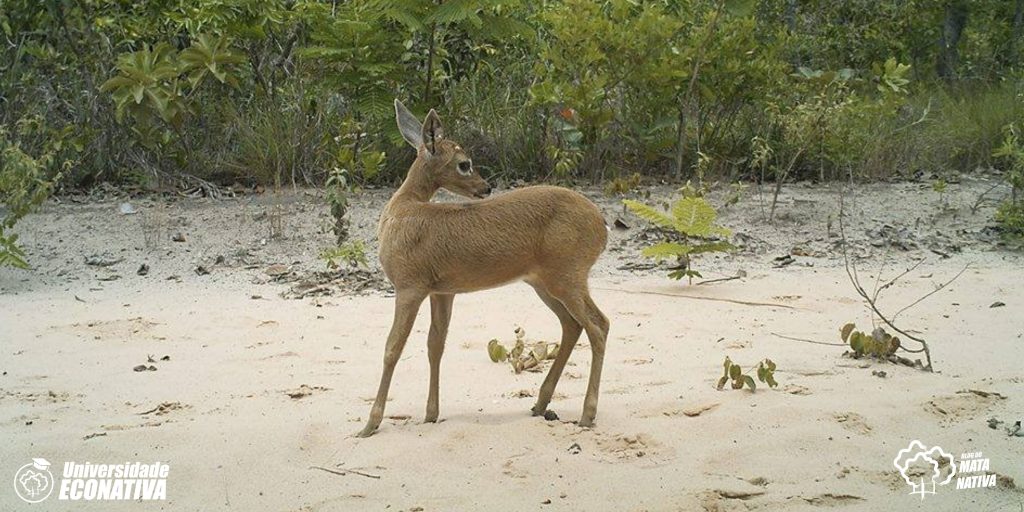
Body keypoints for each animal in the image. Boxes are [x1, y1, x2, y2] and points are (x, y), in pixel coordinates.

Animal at [356, 98, 606, 436]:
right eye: (465, 163)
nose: (486, 187)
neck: (403, 208)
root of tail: (602, 226)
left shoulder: (409, 286)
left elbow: (392, 348)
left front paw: (370, 423)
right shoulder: (442, 291)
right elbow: (435, 344)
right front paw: (431, 414)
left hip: (568, 275)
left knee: (599, 325)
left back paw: (587, 414)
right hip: (544, 282)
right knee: (572, 325)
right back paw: (540, 404)